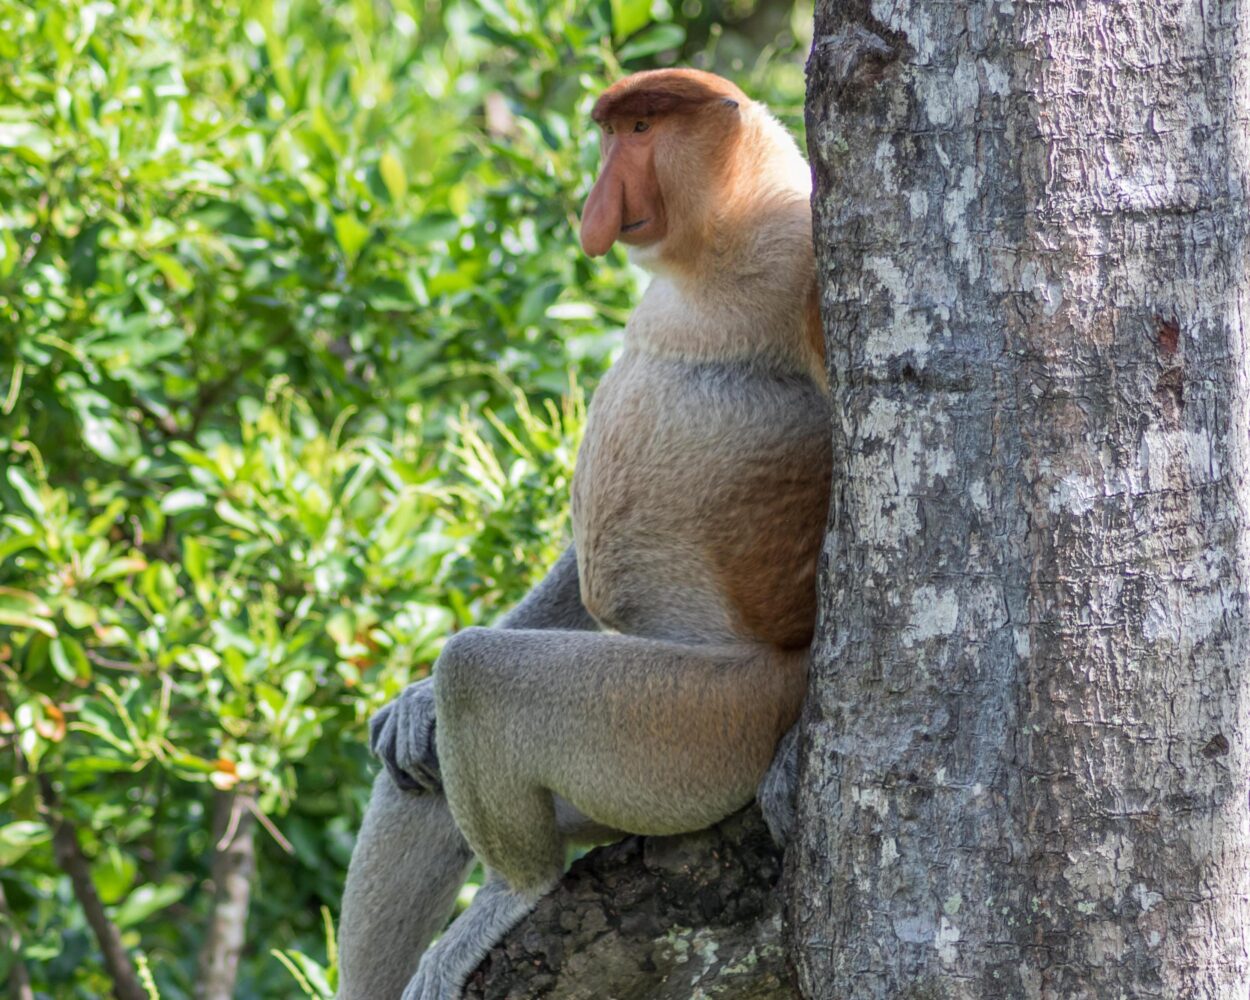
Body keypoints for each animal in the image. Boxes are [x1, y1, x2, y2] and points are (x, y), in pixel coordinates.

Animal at [337, 72, 835, 1000]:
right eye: (611, 133)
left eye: (640, 129)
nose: (597, 205)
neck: (714, 248)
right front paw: (409, 703)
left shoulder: (810, 264)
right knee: (419, 777)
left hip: (697, 730)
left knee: (479, 678)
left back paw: (514, 891)